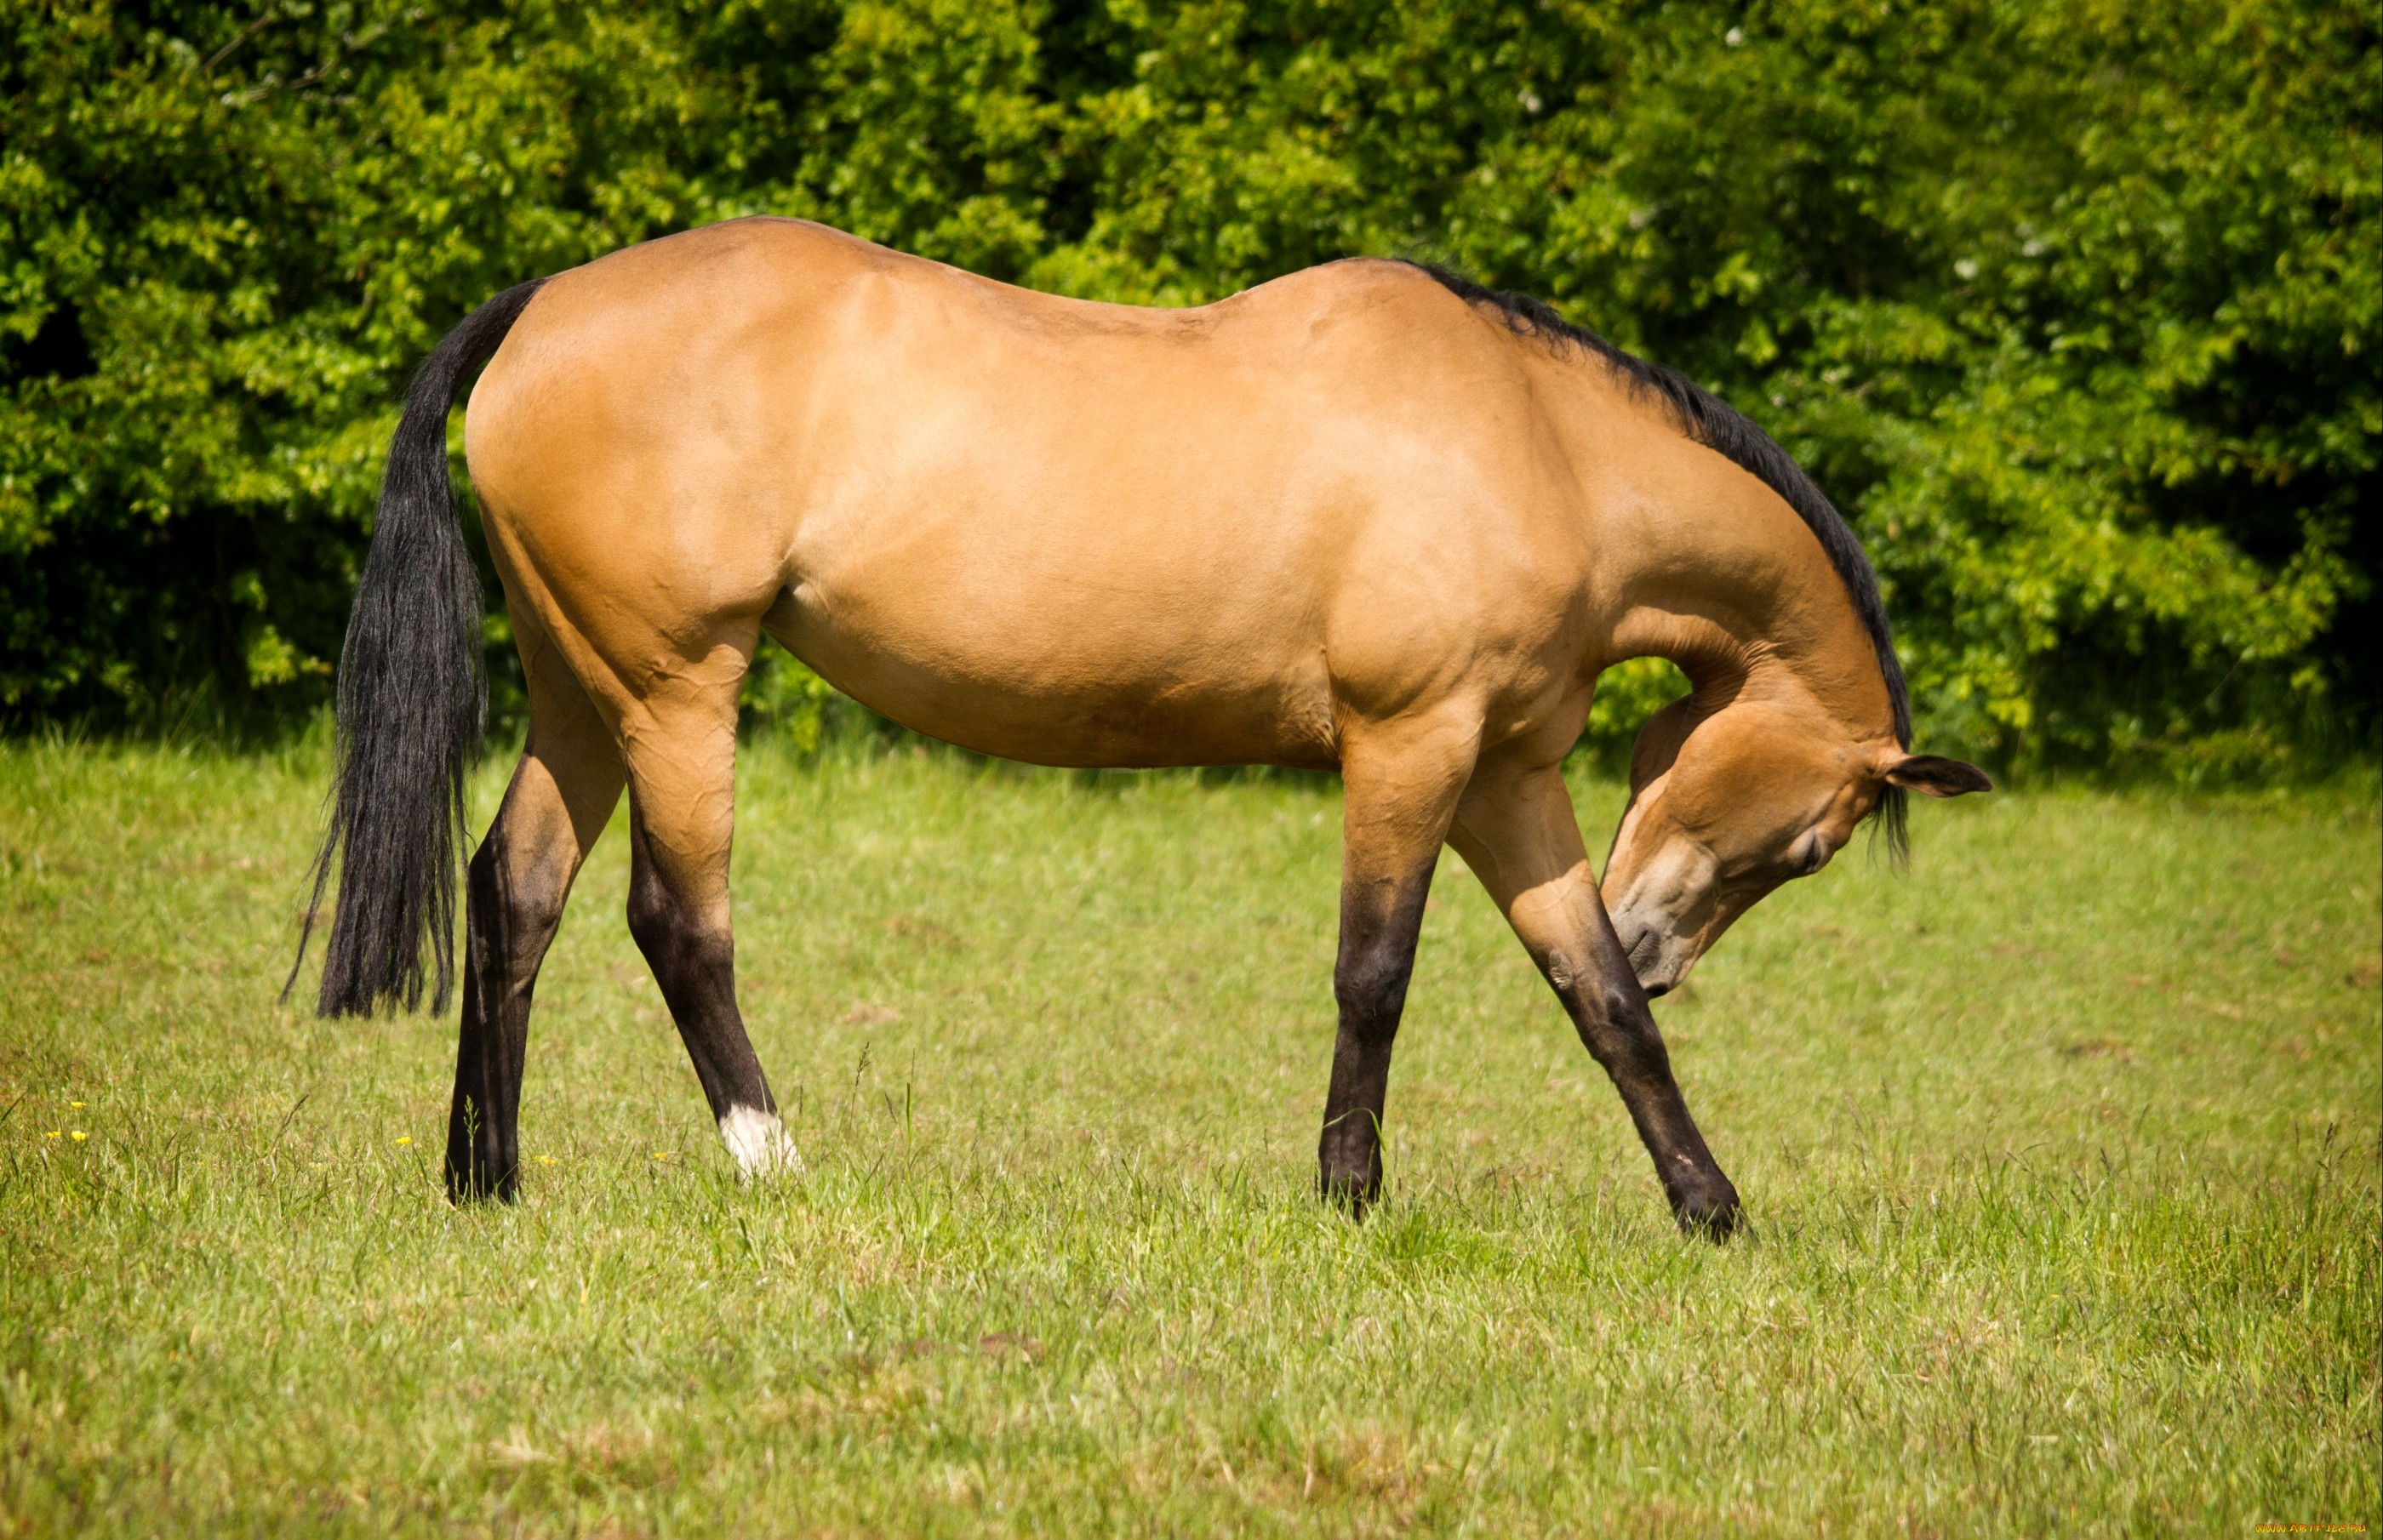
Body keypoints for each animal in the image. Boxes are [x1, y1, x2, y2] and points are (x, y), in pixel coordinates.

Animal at [293, 216, 1992, 1239]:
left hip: (584, 690)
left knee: (516, 894)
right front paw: (1348, 1197)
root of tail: (539, 308)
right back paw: (771, 1157)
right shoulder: (1412, 747)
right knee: (675, 921)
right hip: (676, 692)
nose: (1667, 940)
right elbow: (1375, 975)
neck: (1537, 445)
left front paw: (1712, 1208)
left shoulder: (1508, 774)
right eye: (1816, 842)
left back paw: (486, 1179)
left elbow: (1596, 1004)